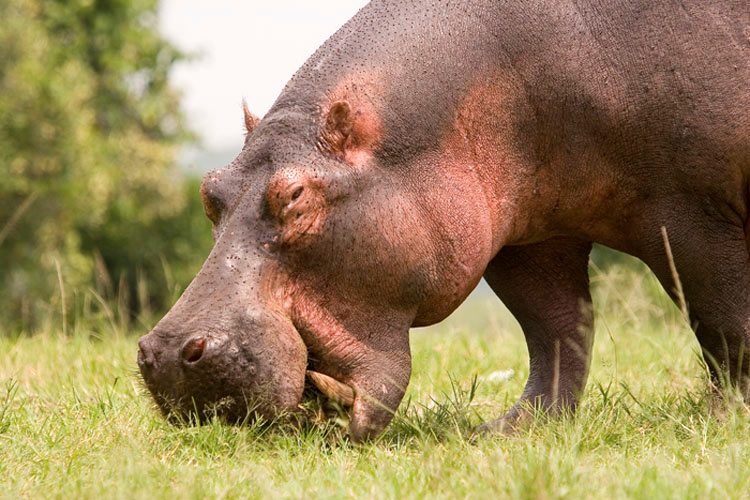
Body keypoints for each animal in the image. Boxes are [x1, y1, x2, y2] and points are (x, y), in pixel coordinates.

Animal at [138, 0, 750, 441]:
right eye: (210, 190)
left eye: (293, 195)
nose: (164, 354)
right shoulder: (525, 238)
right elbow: (556, 330)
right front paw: (510, 430)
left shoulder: (692, 213)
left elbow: (723, 322)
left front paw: (723, 421)